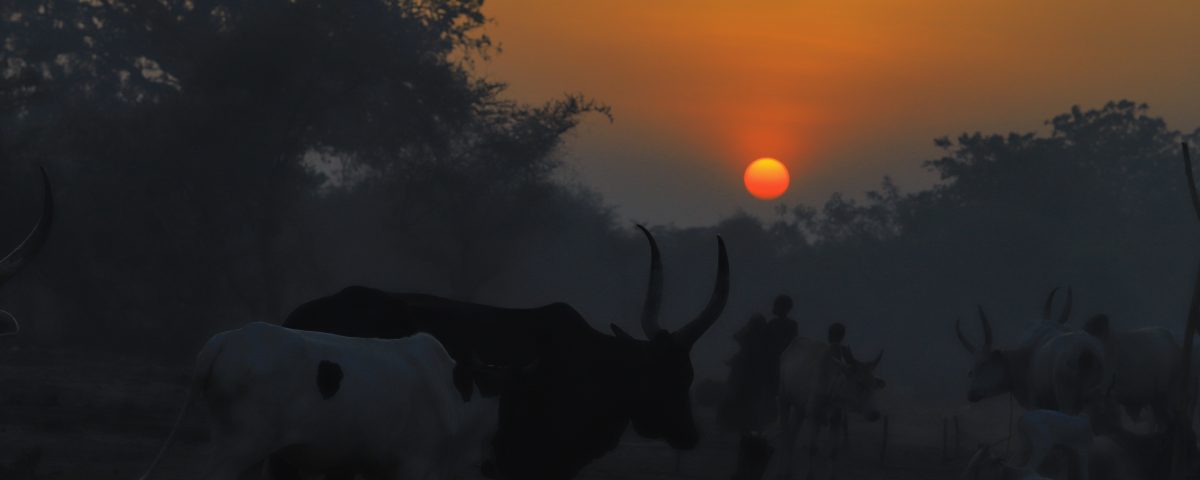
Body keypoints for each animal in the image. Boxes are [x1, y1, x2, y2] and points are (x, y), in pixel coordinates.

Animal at [281, 225, 730, 480]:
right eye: (672, 376)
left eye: (688, 374)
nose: (690, 434)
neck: (593, 366)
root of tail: (301, 313)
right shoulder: (525, 460)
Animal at [768, 324, 886, 480]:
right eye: (859, 383)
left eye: (874, 384)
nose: (875, 414)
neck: (832, 389)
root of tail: (787, 350)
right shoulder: (814, 416)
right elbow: (813, 448)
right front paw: (809, 475)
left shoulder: (836, 419)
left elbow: (833, 451)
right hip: (784, 399)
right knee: (784, 434)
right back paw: (779, 471)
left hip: (800, 409)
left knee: (792, 435)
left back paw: (789, 470)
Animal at [955, 288, 1107, 414]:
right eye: (971, 371)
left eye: (985, 364)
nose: (971, 394)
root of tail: (1086, 351)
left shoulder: (1034, 403)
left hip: (1067, 400)